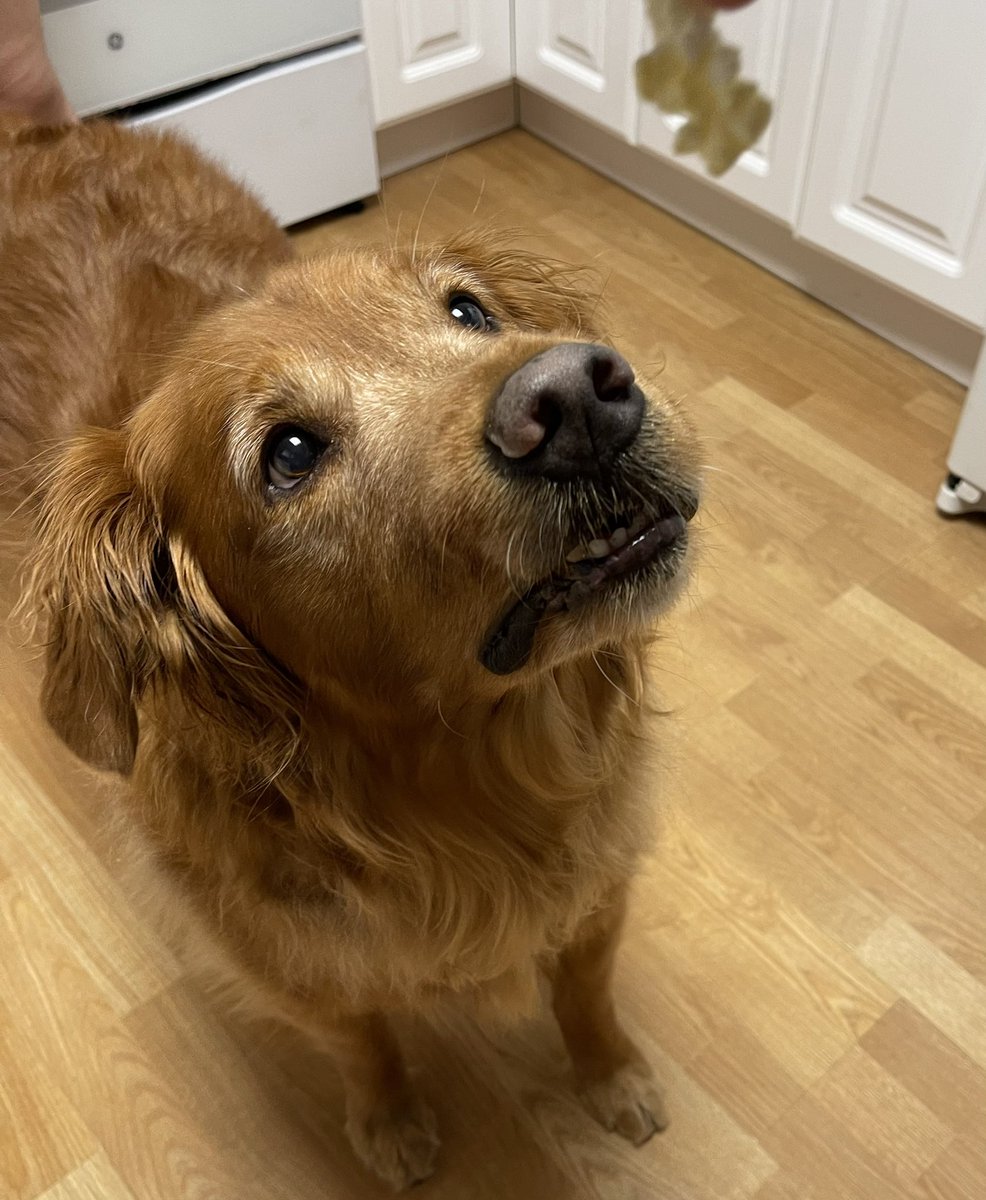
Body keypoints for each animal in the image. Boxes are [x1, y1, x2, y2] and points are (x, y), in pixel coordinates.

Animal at [3, 114, 705, 1190]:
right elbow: (362, 1039)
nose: (580, 401)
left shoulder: (600, 873)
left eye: (468, 310)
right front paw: (390, 1123)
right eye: (289, 455)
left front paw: (612, 1075)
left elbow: (585, 990)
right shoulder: (288, 960)